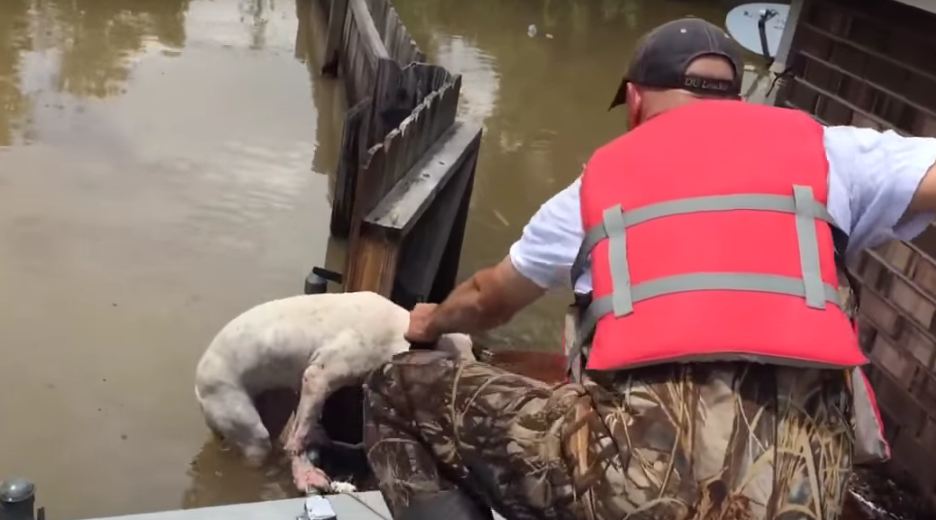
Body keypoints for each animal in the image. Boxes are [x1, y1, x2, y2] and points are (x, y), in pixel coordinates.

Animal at [196, 292, 476, 492]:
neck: (401, 329)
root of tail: (198, 384)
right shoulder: (319, 376)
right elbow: (300, 437)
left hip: (275, 403)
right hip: (244, 422)